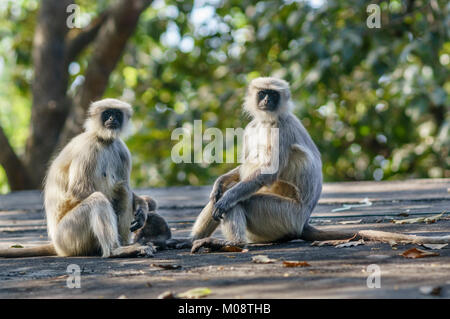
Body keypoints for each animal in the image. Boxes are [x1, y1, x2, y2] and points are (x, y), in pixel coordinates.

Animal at [0, 99, 153, 258]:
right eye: (107, 113)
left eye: (117, 114)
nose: (112, 119)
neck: (103, 140)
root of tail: (56, 245)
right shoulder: (87, 149)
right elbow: (78, 191)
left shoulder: (122, 151)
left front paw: (142, 206)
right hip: (67, 236)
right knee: (100, 198)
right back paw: (115, 250)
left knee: (124, 190)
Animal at [192, 77, 450, 252]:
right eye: (263, 93)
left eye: (273, 96)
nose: (266, 100)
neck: (267, 121)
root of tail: (303, 222)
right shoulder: (252, 127)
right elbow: (237, 175)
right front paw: (220, 182)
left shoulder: (281, 128)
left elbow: (265, 174)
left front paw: (226, 197)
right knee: (226, 195)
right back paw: (191, 239)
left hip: (285, 216)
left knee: (241, 200)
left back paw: (231, 243)